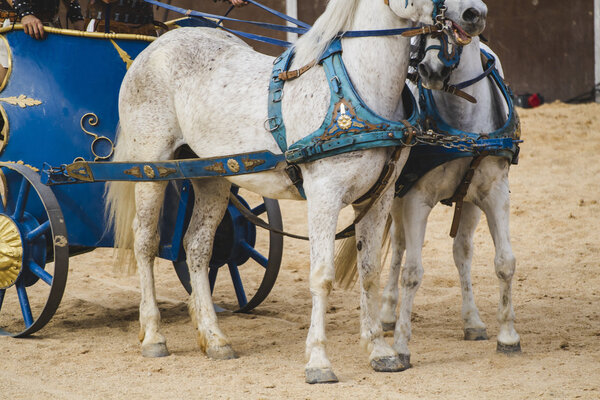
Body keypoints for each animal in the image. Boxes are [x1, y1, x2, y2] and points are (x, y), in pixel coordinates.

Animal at [105, 0, 486, 382]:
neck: (358, 90)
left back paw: (215, 339)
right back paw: (153, 335)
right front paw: (318, 361)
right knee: (145, 243)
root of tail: (154, 47)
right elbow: (322, 277)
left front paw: (380, 351)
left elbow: (369, 274)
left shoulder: (378, 198)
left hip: (211, 177)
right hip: (150, 169)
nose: (475, 13)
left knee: (197, 247)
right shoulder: (324, 195)